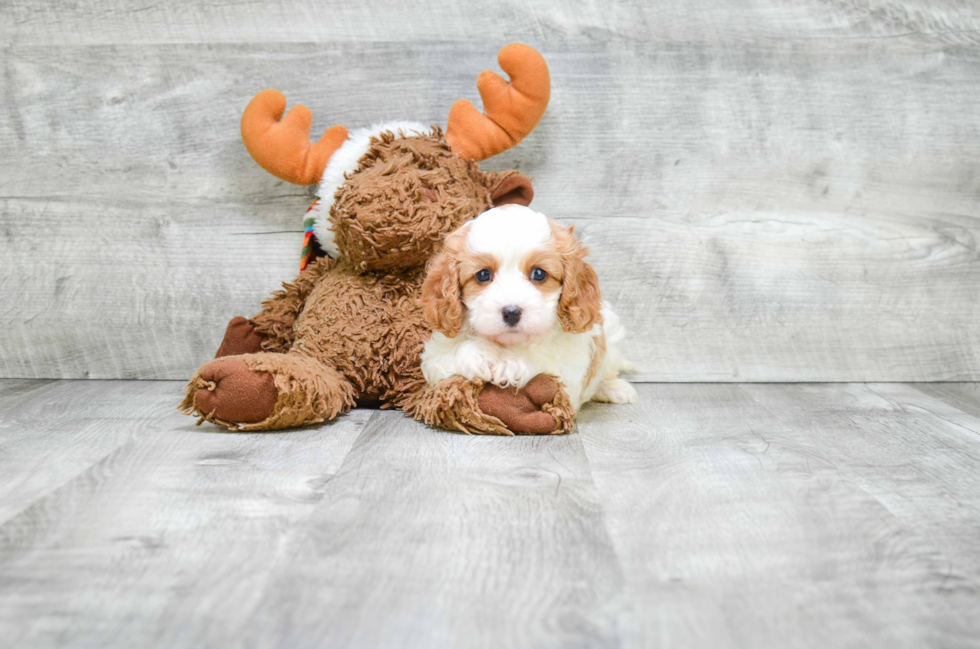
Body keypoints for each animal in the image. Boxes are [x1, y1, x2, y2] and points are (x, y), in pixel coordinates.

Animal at [420, 204, 636, 416]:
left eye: (539, 273)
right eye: (483, 275)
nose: (511, 312)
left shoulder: (569, 374)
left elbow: (547, 357)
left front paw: (514, 362)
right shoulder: (434, 359)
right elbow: (452, 356)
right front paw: (480, 354)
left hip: (611, 331)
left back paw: (615, 388)